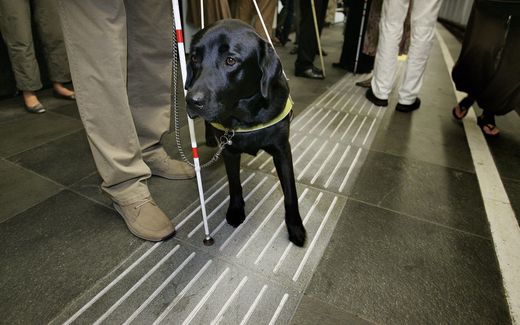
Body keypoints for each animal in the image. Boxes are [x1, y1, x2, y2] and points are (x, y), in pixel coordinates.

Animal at [186, 19, 304, 246]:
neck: (246, 117)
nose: (192, 101)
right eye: (194, 58)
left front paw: (295, 226)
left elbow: (290, 192)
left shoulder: (282, 151)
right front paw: (235, 210)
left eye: (230, 60)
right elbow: (234, 184)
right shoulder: (229, 152)